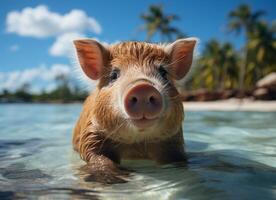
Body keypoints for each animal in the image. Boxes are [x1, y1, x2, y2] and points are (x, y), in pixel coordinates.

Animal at [71, 38, 196, 184]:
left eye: (163, 73)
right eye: (113, 75)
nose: (143, 87)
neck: (136, 145)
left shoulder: (174, 140)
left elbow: (177, 159)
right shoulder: (90, 134)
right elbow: (96, 156)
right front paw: (114, 178)